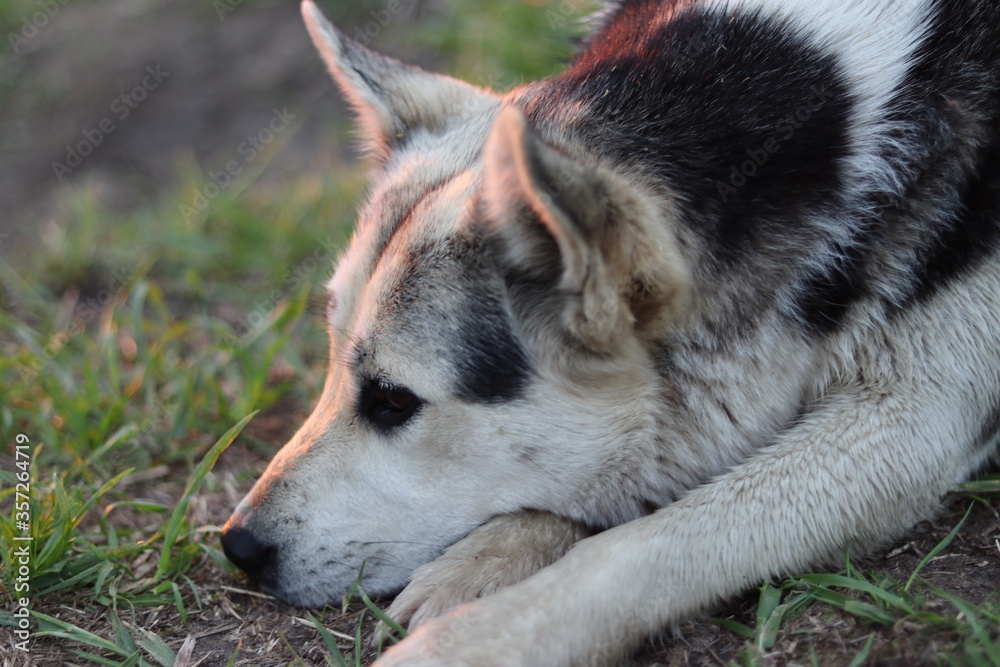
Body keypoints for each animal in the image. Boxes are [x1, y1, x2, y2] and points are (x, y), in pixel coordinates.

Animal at [223, 1, 1000, 664]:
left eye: (391, 400)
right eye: (330, 363)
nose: (236, 547)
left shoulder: (913, 420)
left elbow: (640, 544)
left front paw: (477, 637)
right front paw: (488, 557)